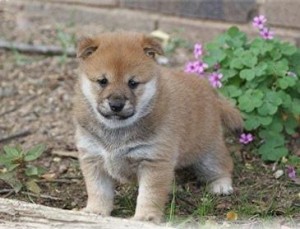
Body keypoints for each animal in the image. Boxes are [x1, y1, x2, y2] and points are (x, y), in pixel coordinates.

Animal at [73, 32, 244, 224]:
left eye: (133, 83)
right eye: (103, 81)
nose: (116, 105)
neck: (117, 130)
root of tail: (211, 92)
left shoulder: (154, 161)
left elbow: (149, 195)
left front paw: (144, 217)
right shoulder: (93, 158)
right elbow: (98, 191)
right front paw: (95, 212)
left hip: (208, 154)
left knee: (223, 165)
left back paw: (221, 185)